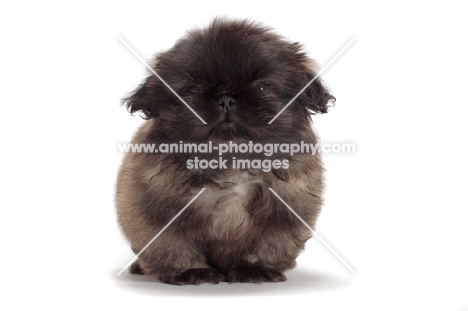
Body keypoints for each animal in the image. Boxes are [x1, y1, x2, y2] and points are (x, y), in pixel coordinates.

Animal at [117, 17, 336, 286]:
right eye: (190, 90)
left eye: (263, 88)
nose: (226, 99)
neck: (231, 161)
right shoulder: (157, 213)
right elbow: (174, 246)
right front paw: (191, 271)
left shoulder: (285, 213)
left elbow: (269, 245)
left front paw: (255, 268)